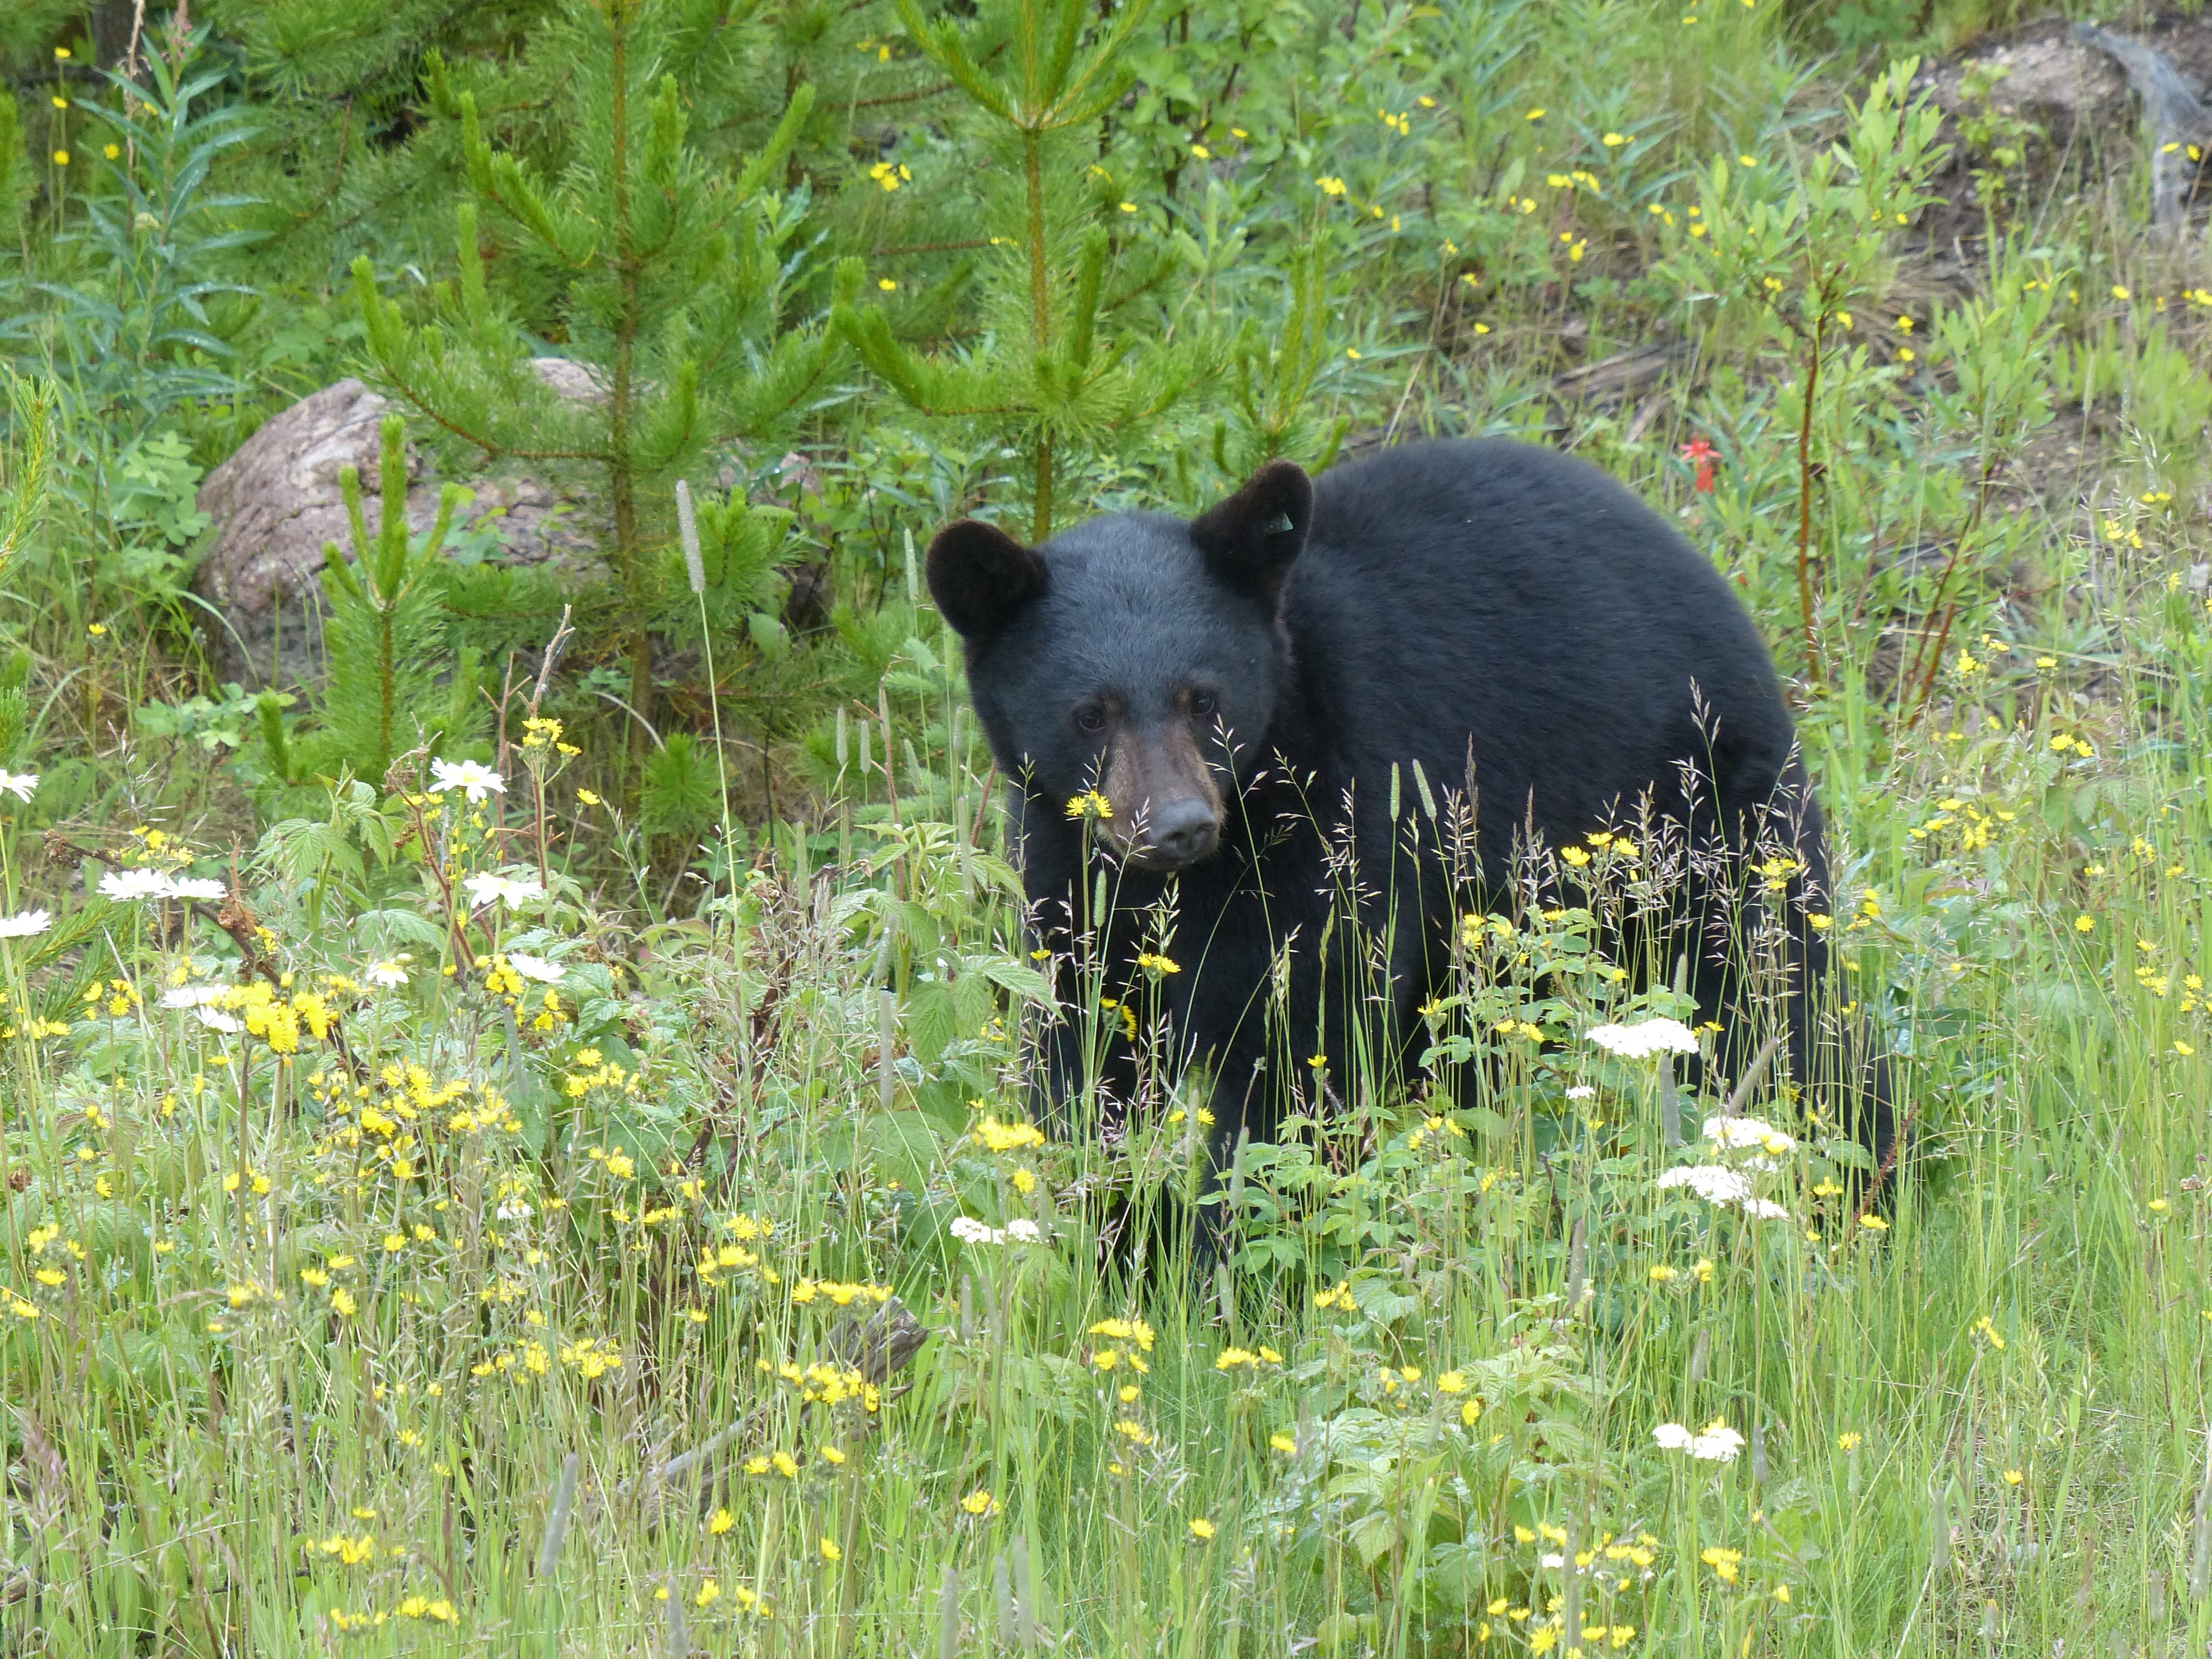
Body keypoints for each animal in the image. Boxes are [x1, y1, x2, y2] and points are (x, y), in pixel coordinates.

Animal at [927, 437, 1892, 1205]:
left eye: (1204, 698)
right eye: (1090, 713)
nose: (1179, 825)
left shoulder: (1350, 811)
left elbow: (1310, 1038)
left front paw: (1217, 1255)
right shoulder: (1066, 863)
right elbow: (1086, 1037)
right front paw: (1107, 1220)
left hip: (1703, 818)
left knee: (1773, 1003)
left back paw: (1857, 1172)